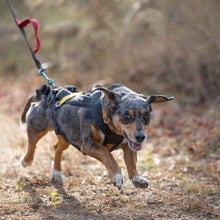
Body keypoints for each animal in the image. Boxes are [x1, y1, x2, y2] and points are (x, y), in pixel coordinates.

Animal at [20, 84, 173, 189]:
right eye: (126, 116)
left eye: (146, 116)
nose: (140, 137)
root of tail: (45, 96)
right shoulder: (88, 144)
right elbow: (107, 154)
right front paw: (116, 175)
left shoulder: (128, 145)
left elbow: (131, 162)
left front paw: (137, 178)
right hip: (36, 126)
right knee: (32, 143)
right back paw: (26, 160)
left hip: (66, 135)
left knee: (57, 147)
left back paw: (56, 172)